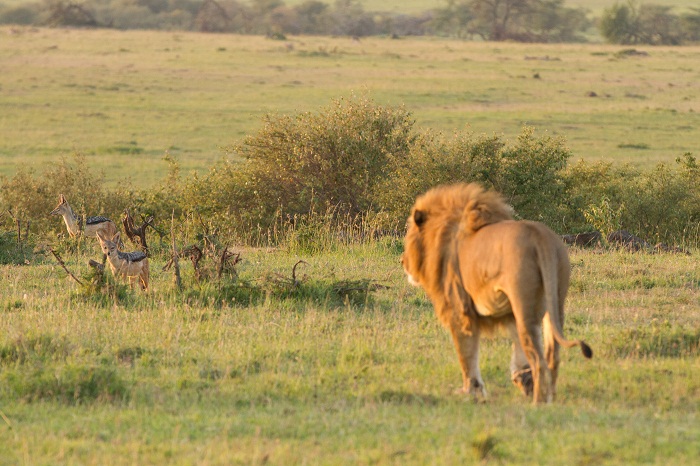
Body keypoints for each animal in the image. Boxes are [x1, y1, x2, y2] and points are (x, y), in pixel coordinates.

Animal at [402, 184, 592, 402]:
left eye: (408, 237)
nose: (402, 261)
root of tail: (540, 235)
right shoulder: (508, 312)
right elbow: (517, 349)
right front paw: (522, 378)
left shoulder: (460, 310)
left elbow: (466, 354)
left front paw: (470, 392)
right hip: (554, 300)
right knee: (553, 355)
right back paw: (550, 398)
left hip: (524, 305)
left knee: (539, 361)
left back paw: (538, 403)